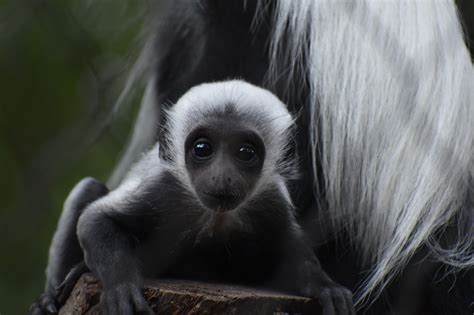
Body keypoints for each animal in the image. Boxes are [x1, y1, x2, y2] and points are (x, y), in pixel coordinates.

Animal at [30, 80, 352, 314]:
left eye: (246, 152)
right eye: (202, 148)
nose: (222, 177)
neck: (215, 218)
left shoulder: (271, 203)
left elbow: (295, 253)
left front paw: (325, 286)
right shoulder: (161, 188)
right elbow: (96, 219)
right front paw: (121, 287)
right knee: (88, 188)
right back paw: (48, 300)